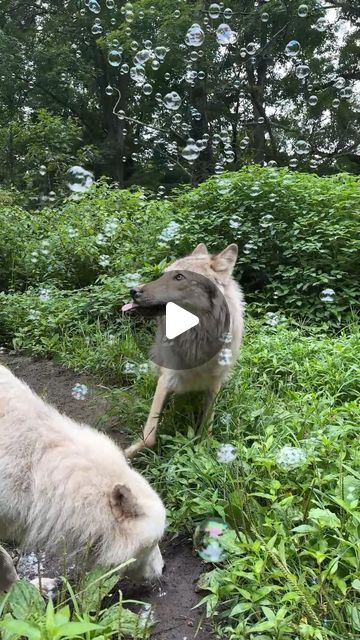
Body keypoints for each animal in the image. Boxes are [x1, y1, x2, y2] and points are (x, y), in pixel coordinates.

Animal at [123, 242, 245, 458]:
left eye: (179, 277)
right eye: (164, 275)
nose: (133, 290)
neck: (197, 339)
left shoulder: (214, 384)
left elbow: (207, 430)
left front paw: (203, 450)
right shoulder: (167, 378)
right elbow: (149, 436)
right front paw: (125, 453)